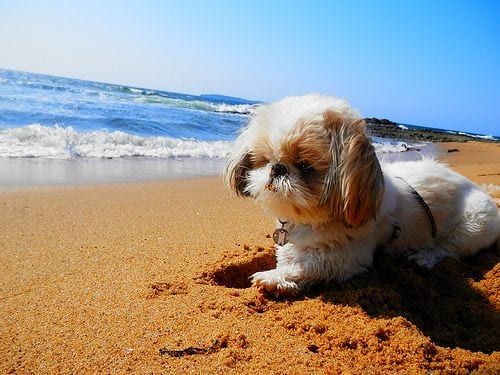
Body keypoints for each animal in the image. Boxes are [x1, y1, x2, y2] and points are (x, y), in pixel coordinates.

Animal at [224, 94, 500, 296]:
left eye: (306, 167)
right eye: (265, 159)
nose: (278, 168)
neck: (310, 220)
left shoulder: (349, 256)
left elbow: (307, 264)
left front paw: (274, 278)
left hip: (473, 226)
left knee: (448, 249)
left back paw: (424, 258)